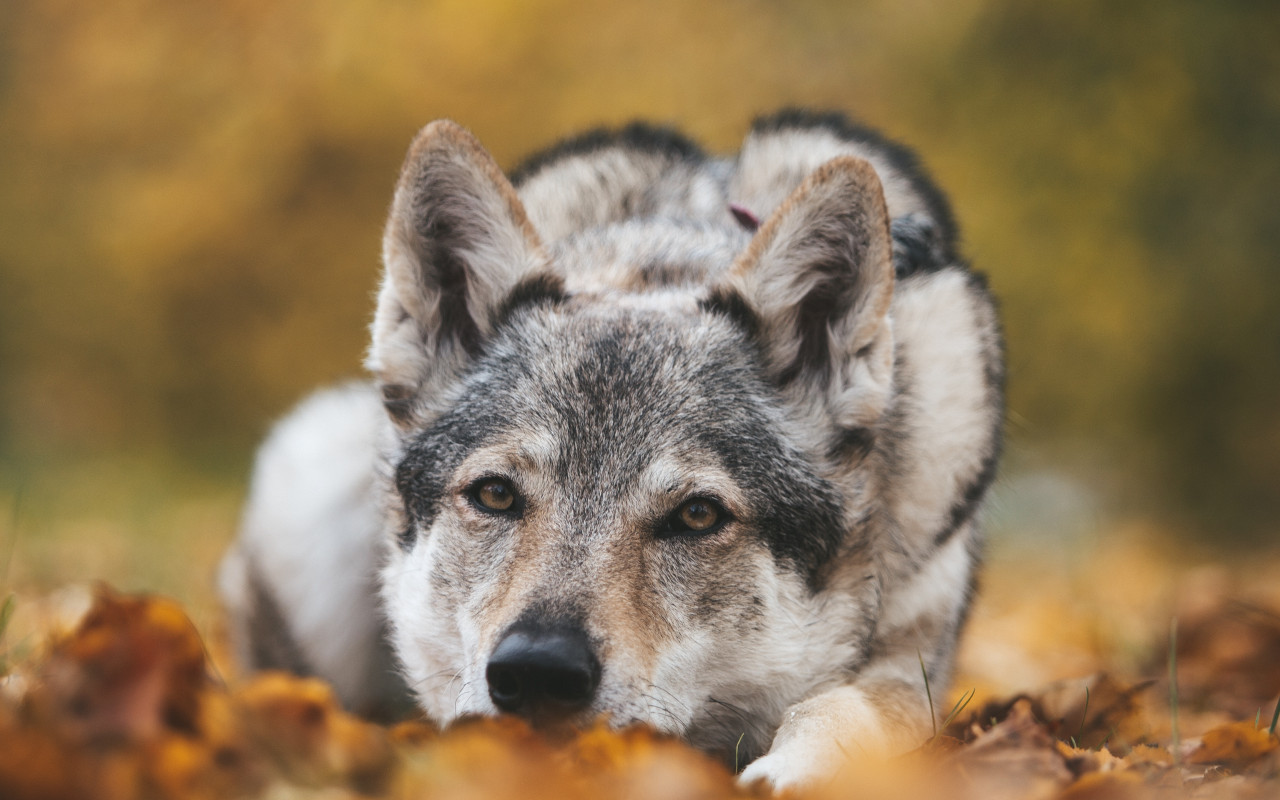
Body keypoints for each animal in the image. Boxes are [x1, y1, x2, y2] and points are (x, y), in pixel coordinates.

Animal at [217, 109, 998, 788]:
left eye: (697, 516)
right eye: (494, 495)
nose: (536, 671)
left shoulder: (913, 664)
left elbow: (845, 706)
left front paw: (796, 769)